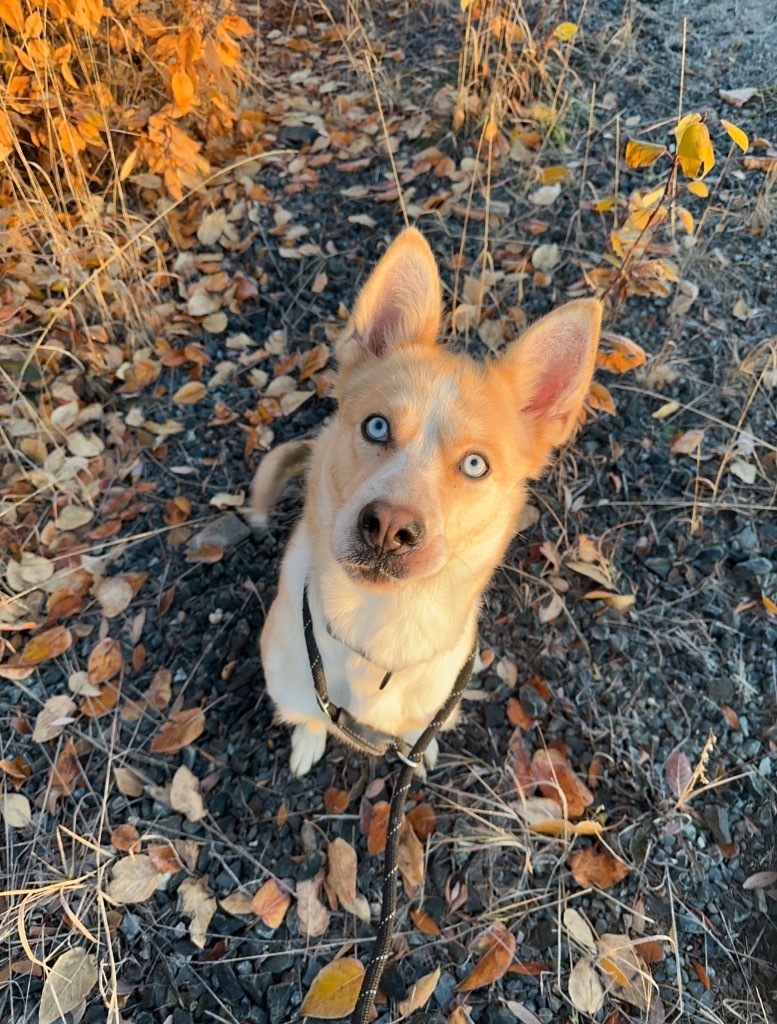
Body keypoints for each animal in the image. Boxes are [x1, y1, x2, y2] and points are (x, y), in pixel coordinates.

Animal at [250, 226, 601, 774]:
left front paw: (423, 748)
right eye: (377, 426)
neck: (379, 633)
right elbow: (309, 717)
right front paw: (308, 739)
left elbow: (419, 733)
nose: (389, 527)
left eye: (475, 464)